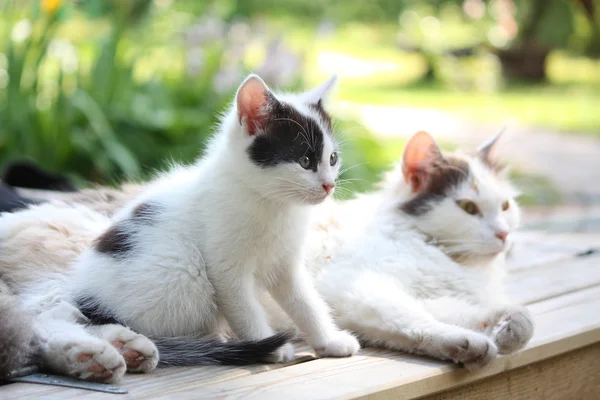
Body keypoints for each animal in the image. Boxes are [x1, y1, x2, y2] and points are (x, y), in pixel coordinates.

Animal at [0, 73, 358, 382]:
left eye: (333, 159)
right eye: (305, 161)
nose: (329, 185)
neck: (273, 205)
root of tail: (86, 291)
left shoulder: (286, 263)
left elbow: (306, 302)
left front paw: (329, 340)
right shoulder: (225, 268)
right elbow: (244, 308)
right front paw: (270, 345)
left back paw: (121, 347)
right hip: (183, 270)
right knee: (56, 316)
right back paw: (99, 351)